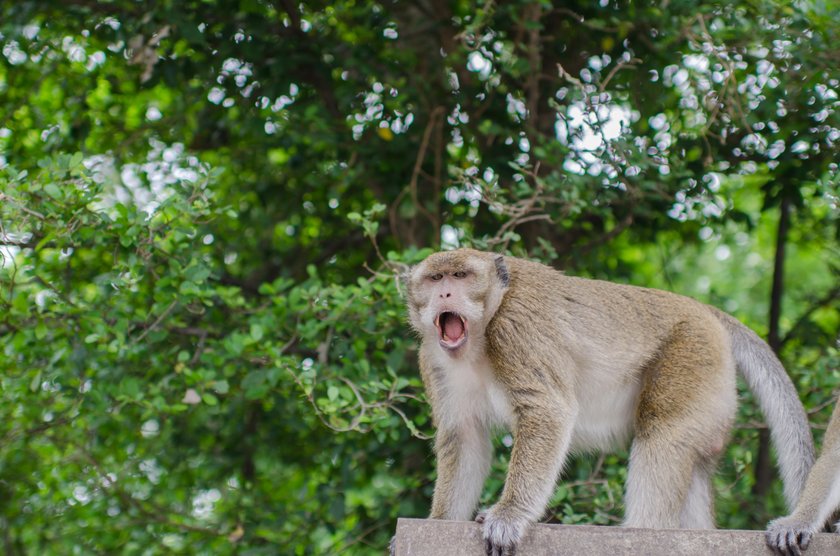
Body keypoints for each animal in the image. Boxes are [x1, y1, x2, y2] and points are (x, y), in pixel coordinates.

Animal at [400, 249, 812, 556]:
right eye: (435, 279)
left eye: (460, 275)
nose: (445, 295)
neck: (482, 334)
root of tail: (705, 311)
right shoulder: (433, 360)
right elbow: (464, 436)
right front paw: (439, 523)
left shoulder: (517, 329)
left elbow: (548, 411)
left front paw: (509, 516)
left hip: (693, 356)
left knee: (662, 433)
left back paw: (643, 532)